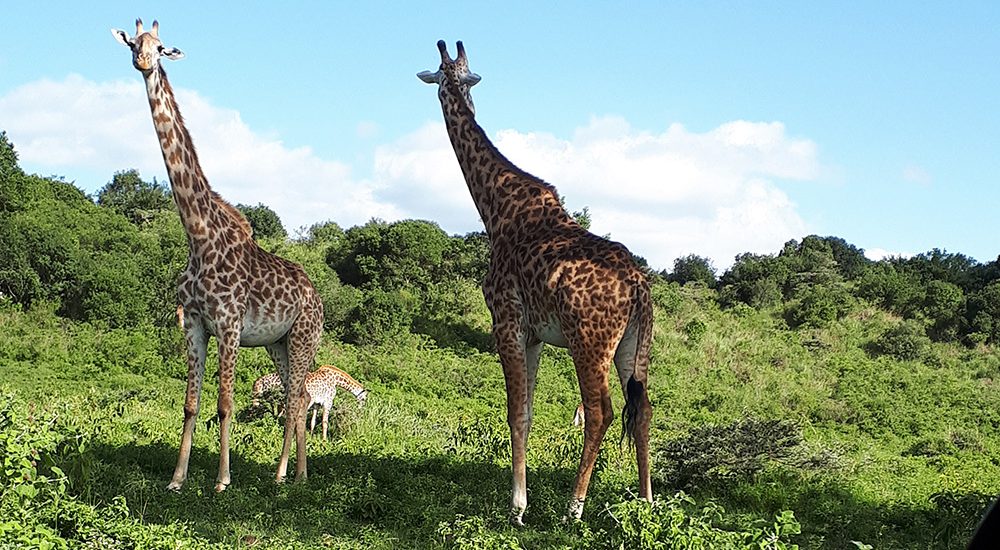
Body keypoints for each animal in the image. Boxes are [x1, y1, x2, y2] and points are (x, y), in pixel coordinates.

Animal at [114, 19, 324, 494]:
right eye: (133, 43)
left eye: (161, 47)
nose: (143, 61)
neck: (198, 236)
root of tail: (318, 298)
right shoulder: (194, 323)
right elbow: (191, 404)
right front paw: (177, 479)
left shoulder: (228, 324)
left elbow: (225, 403)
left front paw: (222, 480)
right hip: (278, 343)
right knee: (298, 394)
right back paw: (290, 474)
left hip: (304, 337)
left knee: (297, 396)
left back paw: (290, 475)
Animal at [418, 40, 652, 528]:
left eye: (442, 77)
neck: (497, 209)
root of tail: (639, 285)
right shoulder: (535, 335)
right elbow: (526, 411)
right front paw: (520, 500)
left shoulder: (506, 320)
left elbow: (515, 413)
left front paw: (518, 506)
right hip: (633, 345)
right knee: (642, 411)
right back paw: (646, 504)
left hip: (589, 342)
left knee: (600, 411)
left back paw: (574, 508)